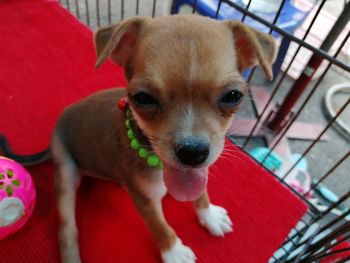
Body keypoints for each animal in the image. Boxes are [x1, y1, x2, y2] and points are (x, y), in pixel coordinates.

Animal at [6, 14, 276, 263]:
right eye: (143, 98)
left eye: (233, 96)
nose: (192, 152)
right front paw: (174, 252)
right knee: (66, 229)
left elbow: (201, 192)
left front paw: (208, 215)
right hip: (66, 172)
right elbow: (159, 226)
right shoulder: (144, 201)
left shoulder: (198, 171)